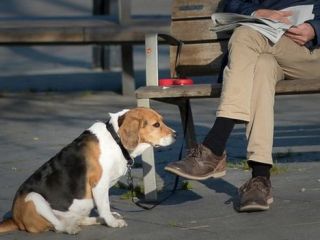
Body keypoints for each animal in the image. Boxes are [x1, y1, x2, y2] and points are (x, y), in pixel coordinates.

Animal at [0, 107, 175, 234]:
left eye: (162, 121)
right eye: (156, 125)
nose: (176, 134)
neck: (116, 139)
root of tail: (14, 219)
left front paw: (108, 219)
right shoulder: (99, 184)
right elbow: (105, 206)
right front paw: (112, 222)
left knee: (78, 220)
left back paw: (95, 220)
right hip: (33, 197)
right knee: (58, 226)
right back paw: (72, 228)